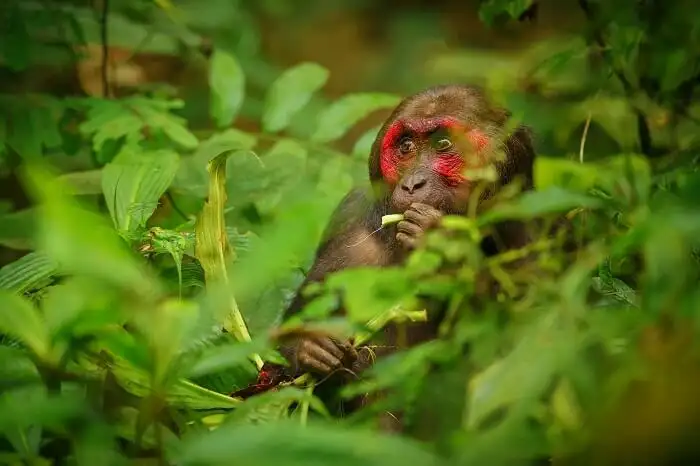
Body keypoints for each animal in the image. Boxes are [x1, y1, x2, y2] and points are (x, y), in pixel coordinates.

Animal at [249, 83, 540, 430]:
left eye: (443, 144)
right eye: (406, 147)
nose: (413, 183)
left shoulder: (528, 216)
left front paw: (439, 243)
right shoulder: (348, 220)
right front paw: (309, 350)